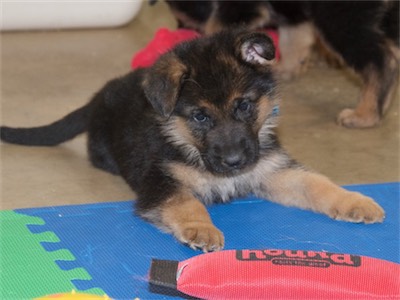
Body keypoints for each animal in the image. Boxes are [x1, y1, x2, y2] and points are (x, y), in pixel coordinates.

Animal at [1, 29, 386, 251]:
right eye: (200, 116)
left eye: (244, 105)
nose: (234, 162)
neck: (187, 143)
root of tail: (98, 97)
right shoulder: (162, 182)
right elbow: (187, 201)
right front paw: (201, 229)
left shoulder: (272, 170)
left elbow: (315, 182)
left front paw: (355, 201)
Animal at [158, 0, 398, 127]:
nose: (180, 31)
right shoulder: (293, 13)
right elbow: (295, 37)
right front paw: (287, 67)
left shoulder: (237, 6)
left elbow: (218, 26)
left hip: (339, 16)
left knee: (381, 59)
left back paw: (365, 114)